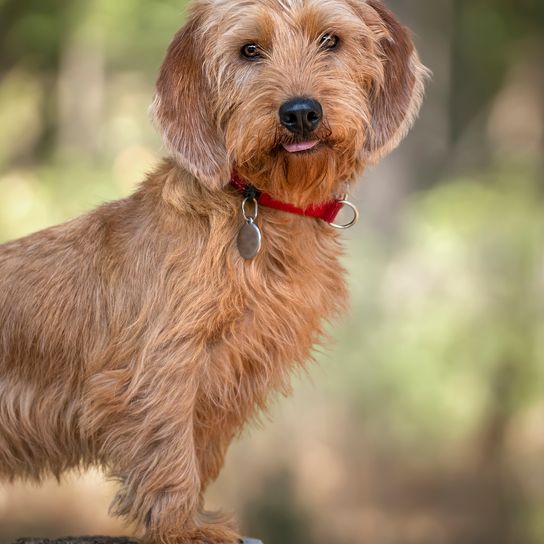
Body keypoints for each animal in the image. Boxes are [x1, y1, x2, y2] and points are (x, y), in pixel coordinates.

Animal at [0, 1, 424, 544]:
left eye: (331, 40)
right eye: (249, 50)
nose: (300, 112)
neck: (263, 206)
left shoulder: (229, 378)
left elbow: (200, 452)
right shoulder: (161, 366)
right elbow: (168, 447)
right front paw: (181, 527)